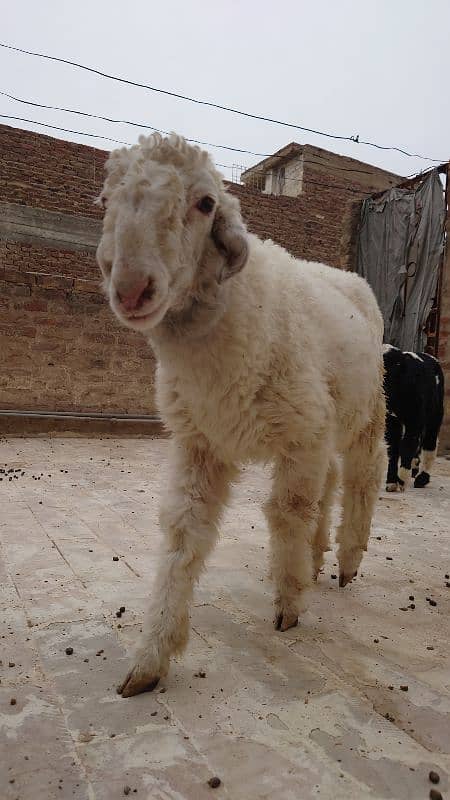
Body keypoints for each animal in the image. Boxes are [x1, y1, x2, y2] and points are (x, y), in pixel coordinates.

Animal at [96, 134, 384, 696]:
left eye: (207, 203)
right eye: (106, 199)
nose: (132, 289)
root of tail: (347, 274)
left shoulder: (299, 435)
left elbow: (287, 511)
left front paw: (289, 603)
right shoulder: (200, 442)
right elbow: (183, 532)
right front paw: (152, 655)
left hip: (364, 410)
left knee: (363, 474)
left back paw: (346, 559)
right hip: (324, 422)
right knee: (330, 482)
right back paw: (319, 554)